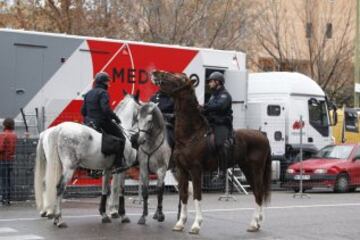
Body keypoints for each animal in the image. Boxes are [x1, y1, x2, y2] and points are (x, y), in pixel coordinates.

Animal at [34, 92, 141, 227]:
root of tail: (59, 129)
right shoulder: (122, 169)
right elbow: (119, 189)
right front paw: (121, 214)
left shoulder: (107, 170)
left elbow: (105, 190)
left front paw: (104, 214)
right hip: (69, 167)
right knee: (59, 187)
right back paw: (58, 218)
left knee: (47, 184)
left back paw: (49, 213)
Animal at [150, 70, 272, 234]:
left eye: (178, 78)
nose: (156, 73)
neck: (191, 135)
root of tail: (262, 135)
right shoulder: (182, 170)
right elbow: (184, 195)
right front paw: (180, 223)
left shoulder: (195, 170)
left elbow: (196, 195)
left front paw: (196, 225)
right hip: (247, 169)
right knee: (258, 193)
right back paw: (257, 223)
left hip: (255, 170)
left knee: (258, 193)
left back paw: (254, 224)